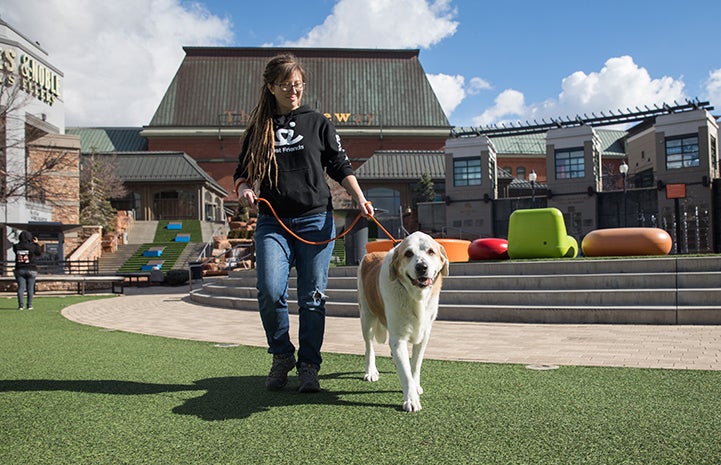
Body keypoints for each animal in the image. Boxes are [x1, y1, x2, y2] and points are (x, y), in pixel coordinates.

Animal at [358, 230, 448, 412]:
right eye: (408, 253)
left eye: (431, 252)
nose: (422, 267)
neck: (415, 296)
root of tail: (370, 254)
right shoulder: (398, 339)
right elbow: (405, 373)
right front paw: (411, 399)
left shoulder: (424, 335)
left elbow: (415, 364)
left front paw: (415, 385)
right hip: (366, 316)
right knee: (369, 346)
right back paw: (371, 371)